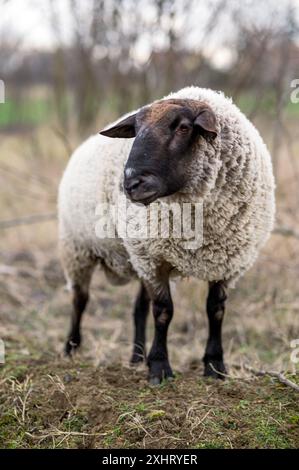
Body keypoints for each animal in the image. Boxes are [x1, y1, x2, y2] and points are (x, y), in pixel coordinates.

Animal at [58, 86, 276, 384]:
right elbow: (163, 312)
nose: (131, 183)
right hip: (78, 249)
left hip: (134, 256)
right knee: (80, 300)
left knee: (138, 307)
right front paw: (160, 368)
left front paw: (215, 366)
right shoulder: (155, 258)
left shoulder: (228, 261)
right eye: (136, 129)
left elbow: (215, 310)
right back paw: (70, 349)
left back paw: (137, 357)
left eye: (184, 127)